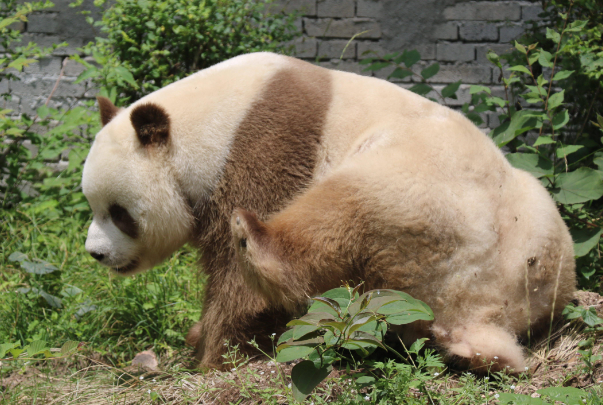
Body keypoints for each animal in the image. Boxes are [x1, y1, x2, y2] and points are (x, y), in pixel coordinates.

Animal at [80, 52, 576, 370]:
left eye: (119, 213)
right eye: (92, 205)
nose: (96, 254)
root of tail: (483, 308)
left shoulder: (265, 143)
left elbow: (236, 280)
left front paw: (215, 357)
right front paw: (203, 340)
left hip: (423, 187)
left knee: (341, 213)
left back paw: (257, 243)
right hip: (540, 235)